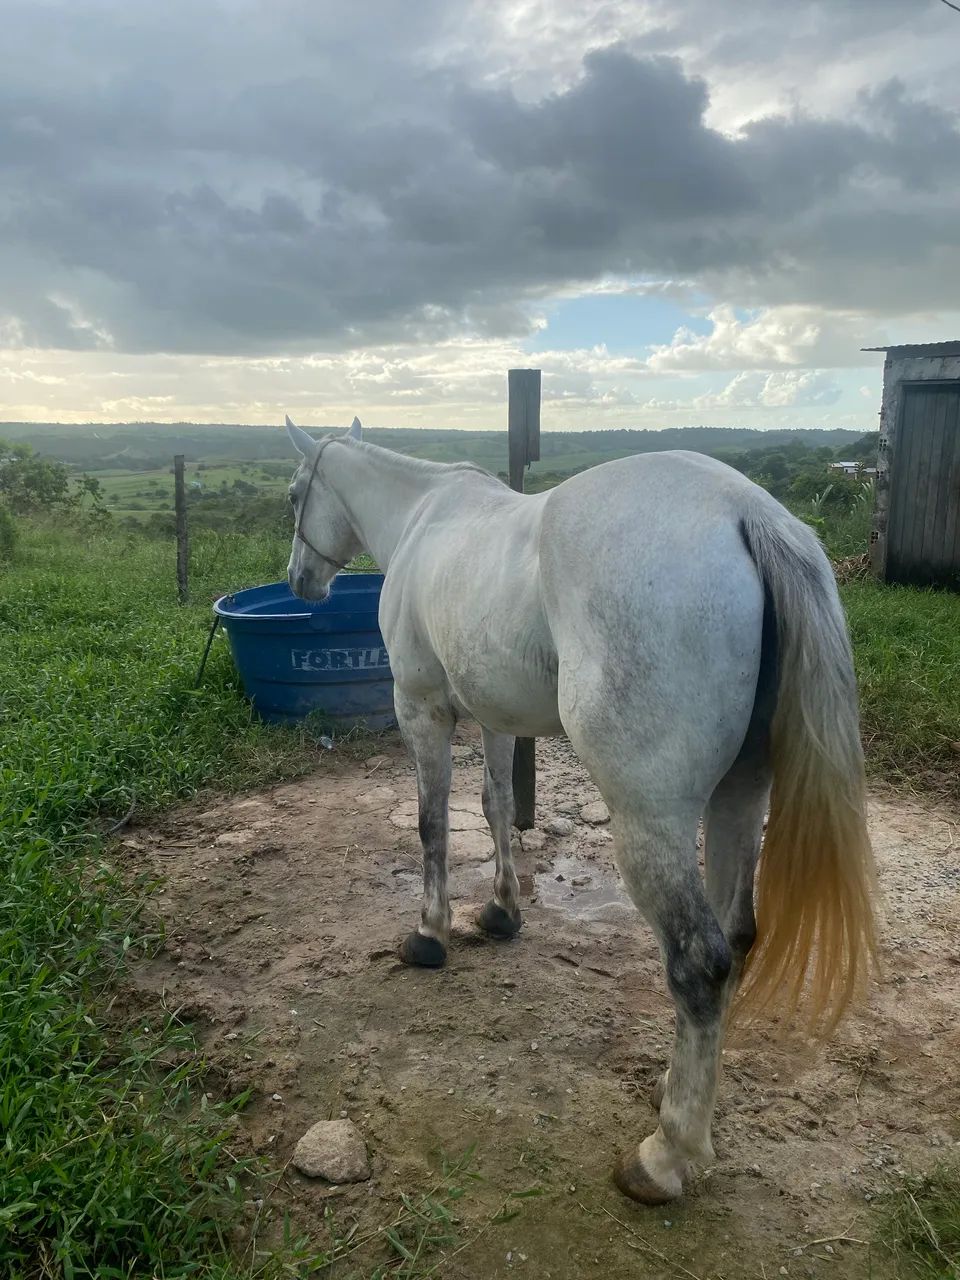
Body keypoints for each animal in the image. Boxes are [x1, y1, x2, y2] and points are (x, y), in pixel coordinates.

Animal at [283, 415, 877, 1206]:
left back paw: (665, 1155)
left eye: (296, 493)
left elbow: (433, 821)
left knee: (700, 962)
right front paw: (501, 911)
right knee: (737, 936)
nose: (301, 581)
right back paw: (677, 1095)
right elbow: (496, 805)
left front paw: (430, 933)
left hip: (649, 820)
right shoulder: (494, 716)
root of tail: (750, 513)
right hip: (740, 797)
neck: (423, 517)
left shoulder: (422, 709)